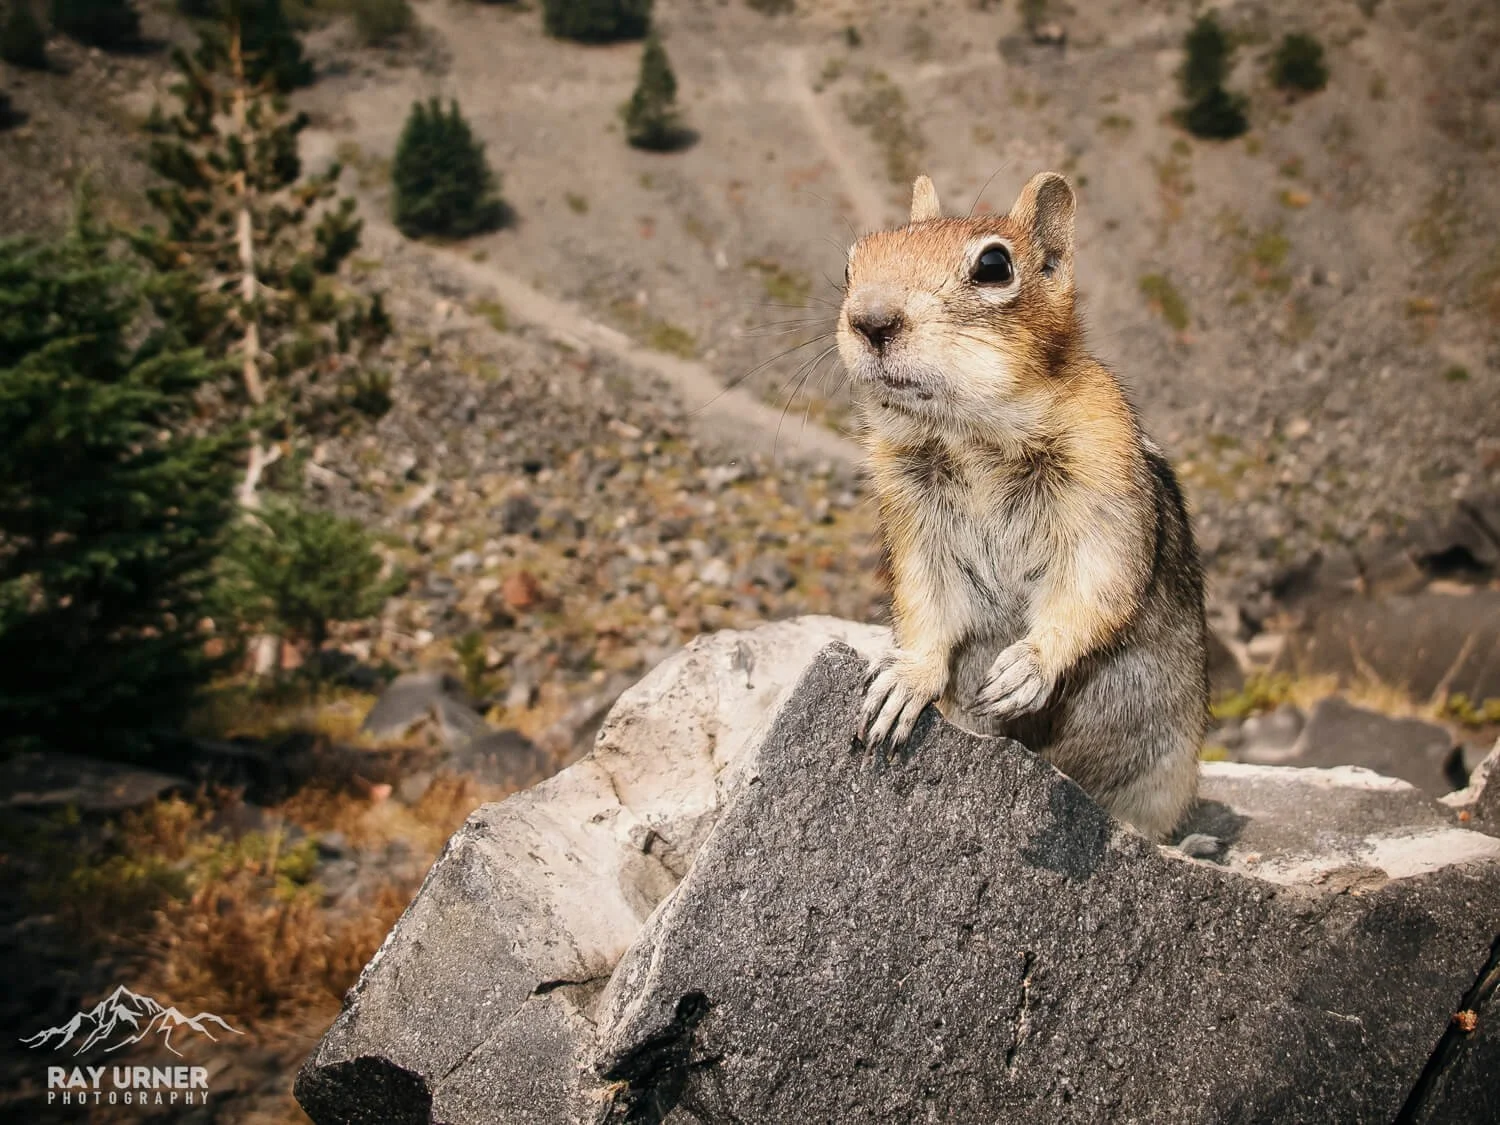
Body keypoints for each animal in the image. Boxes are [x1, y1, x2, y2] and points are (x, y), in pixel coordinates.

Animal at [841, 172, 1209, 842]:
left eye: (994, 265)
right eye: (852, 262)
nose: (870, 320)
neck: (969, 434)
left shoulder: (1101, 469)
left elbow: (1098, 578)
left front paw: (1028, 667)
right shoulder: (911, 511)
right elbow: (925, 600)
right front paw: (903, 682)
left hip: (1168, 773)